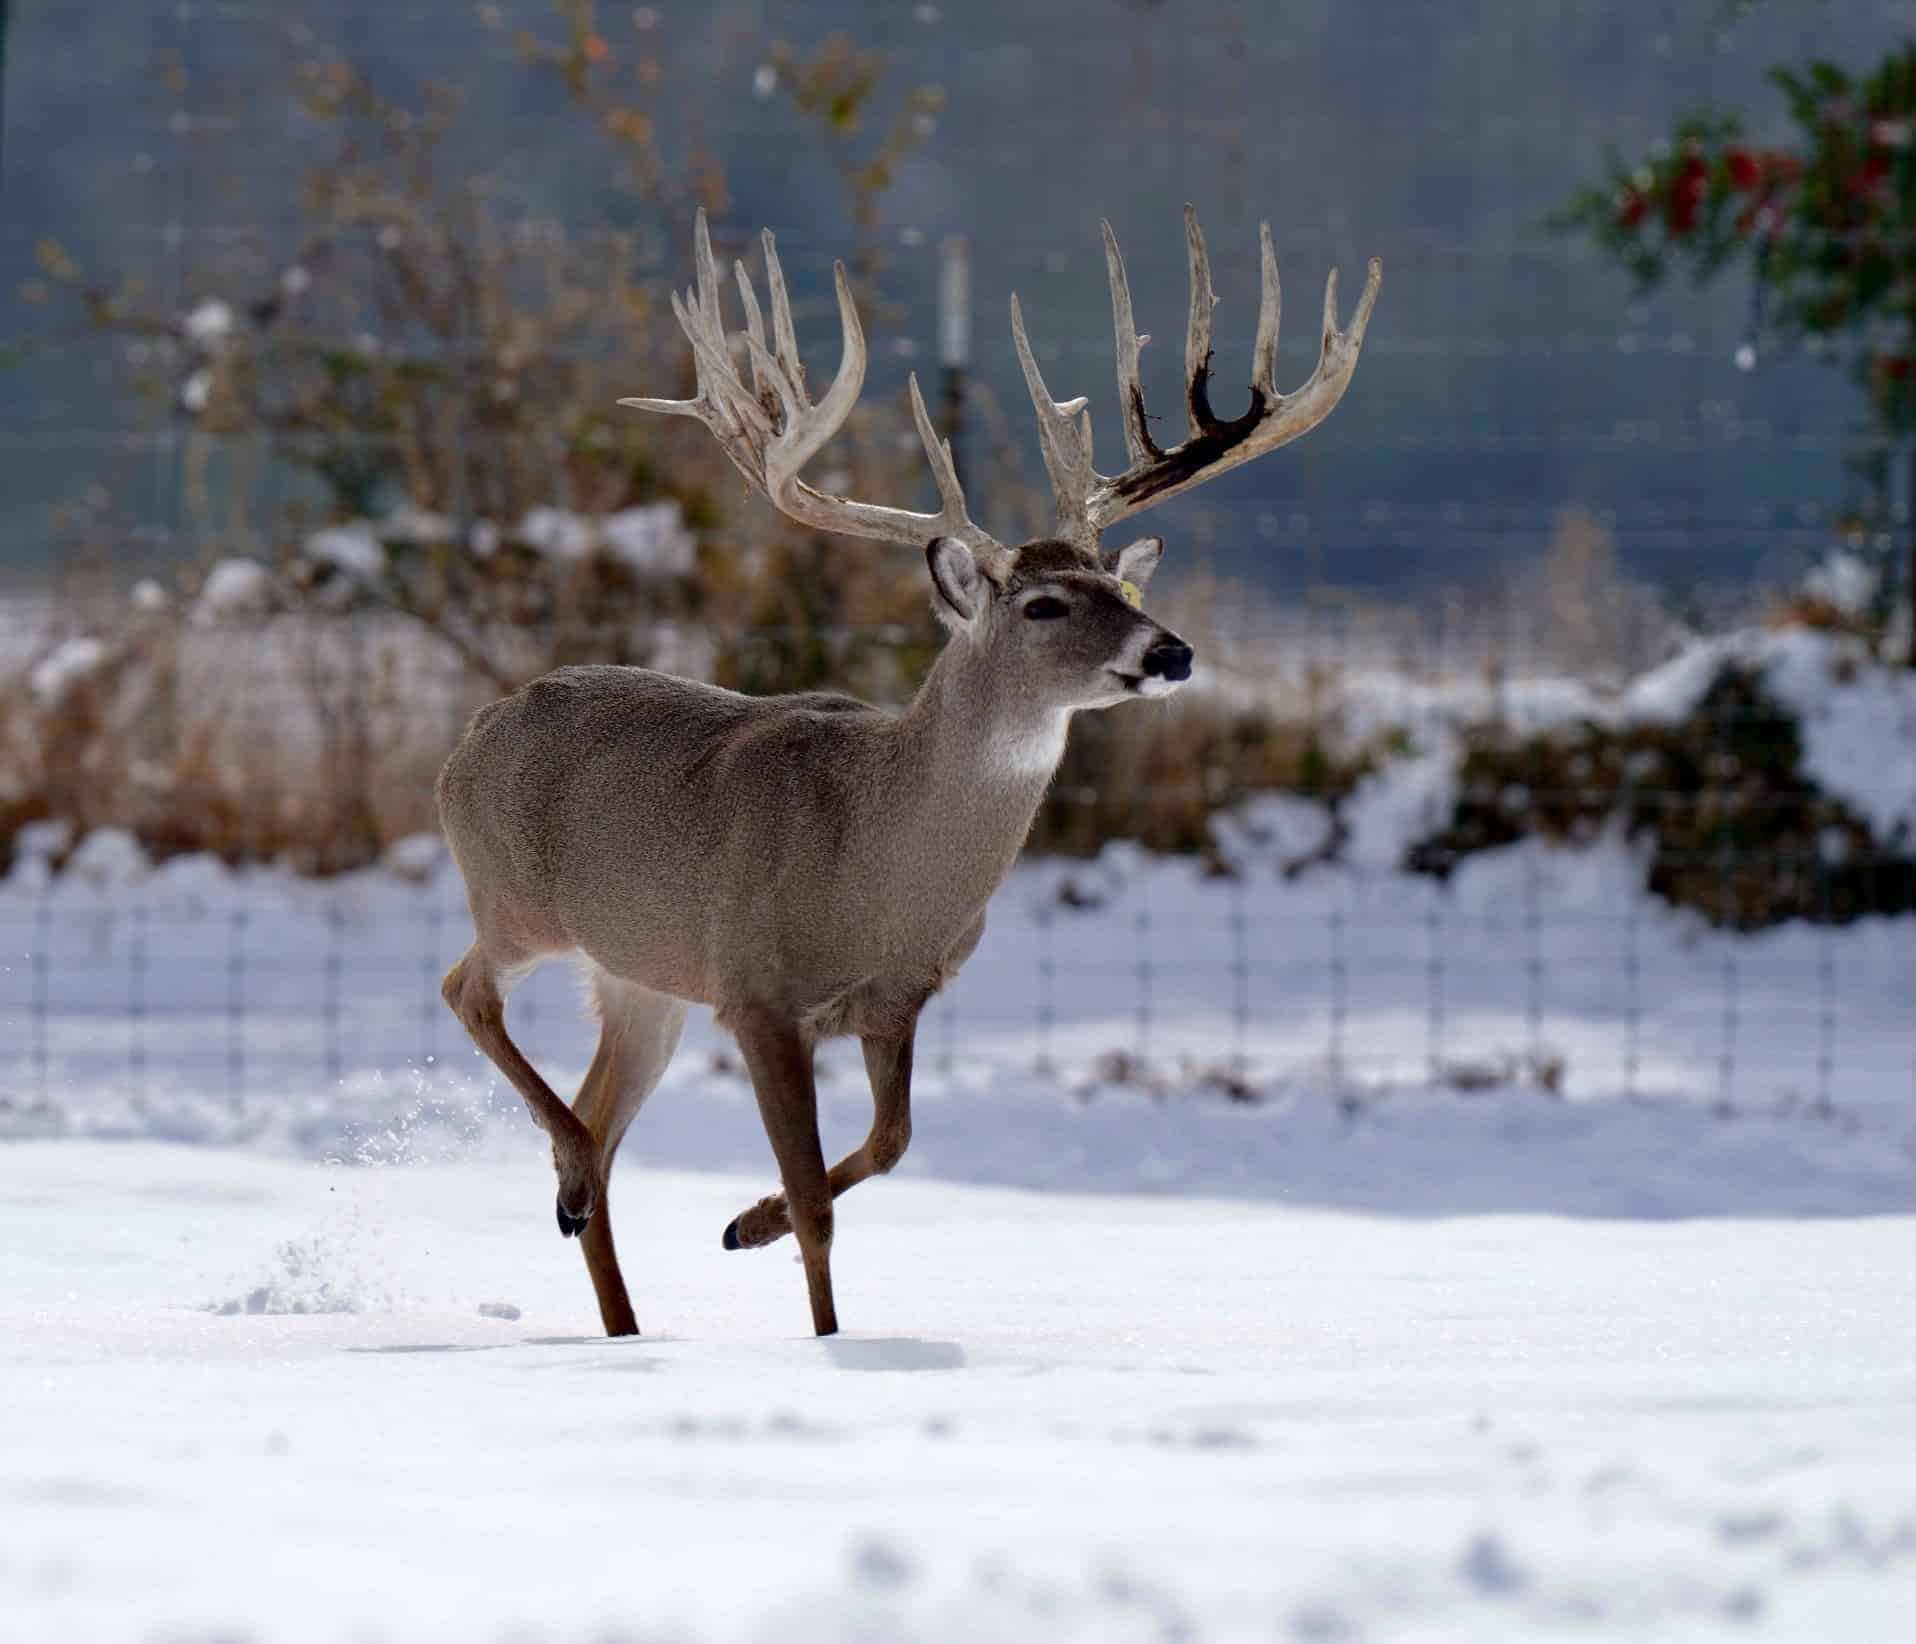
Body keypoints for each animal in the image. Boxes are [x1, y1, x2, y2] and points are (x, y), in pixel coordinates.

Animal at [436, 205, 1379, 1337]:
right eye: (1043, 605)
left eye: (1119, 586)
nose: (1172, 653)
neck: (874, 870)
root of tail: (475, 729)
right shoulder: (758, 993)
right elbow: (817, 1204)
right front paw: (821, 1326)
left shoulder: (898, 1000)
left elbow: (889, 1149)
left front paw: (740, 1223)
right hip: (518, 900)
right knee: (467, 993)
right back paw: (573, 1180)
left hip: (640, 978)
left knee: (599, 1116)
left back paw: (607, 1280)